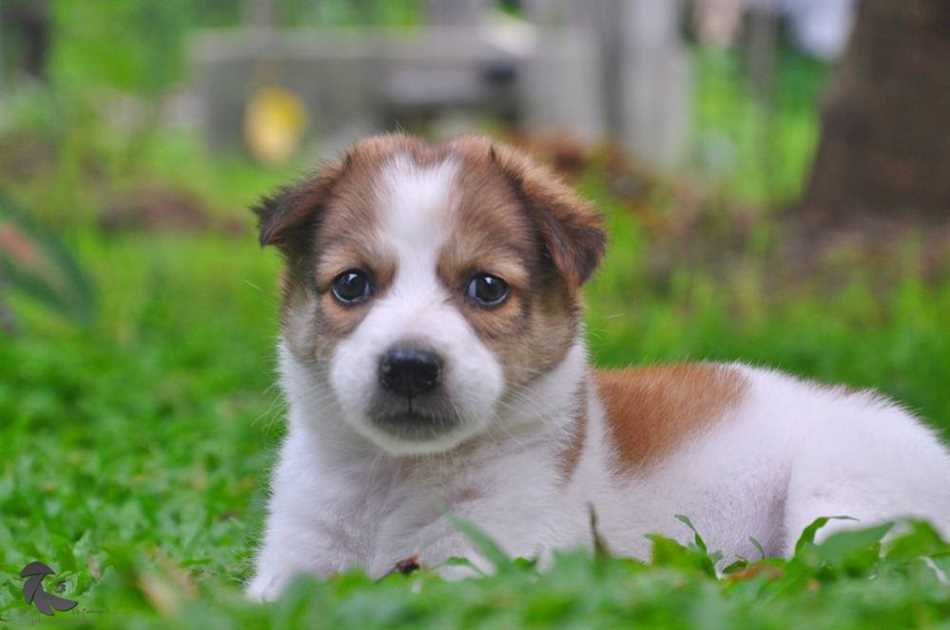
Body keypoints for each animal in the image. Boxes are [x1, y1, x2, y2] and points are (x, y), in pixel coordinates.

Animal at [249, 135, 950, 604]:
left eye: (486, 289)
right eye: (351, 284)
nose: (411, 366)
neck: (397, 476)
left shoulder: (486, 556)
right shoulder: (294, 556)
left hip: (843, 490)